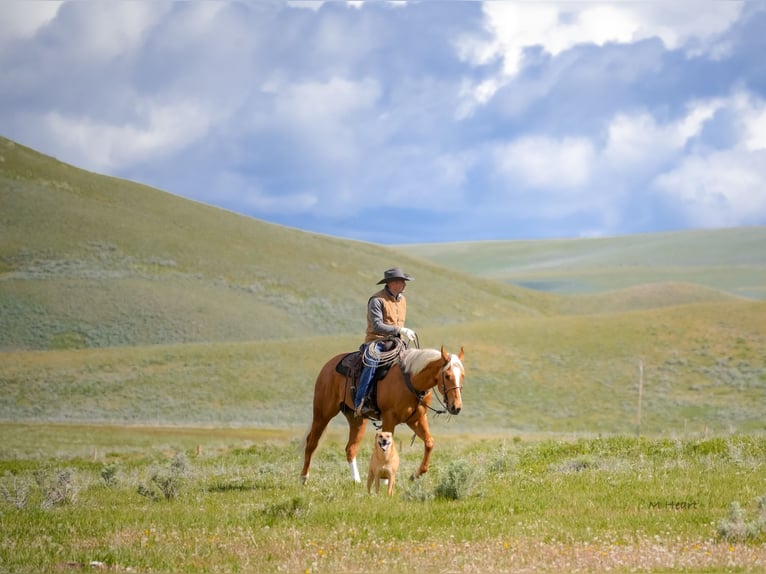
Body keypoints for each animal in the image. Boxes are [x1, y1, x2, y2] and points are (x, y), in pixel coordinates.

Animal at [300, 344, 465, 485]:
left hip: (357, 419)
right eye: (447, 376)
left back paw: (357, 481)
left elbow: (429, 443)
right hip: (323, 413)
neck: (411, 380)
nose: (456, 407)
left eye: (462, 375)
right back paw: (303, 478)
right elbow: (386, 447)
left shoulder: (416, 420)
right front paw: (385, 481)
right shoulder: (389, 419)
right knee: (312, 442)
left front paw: (414, 475)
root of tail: (328, 365)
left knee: (350, 448)